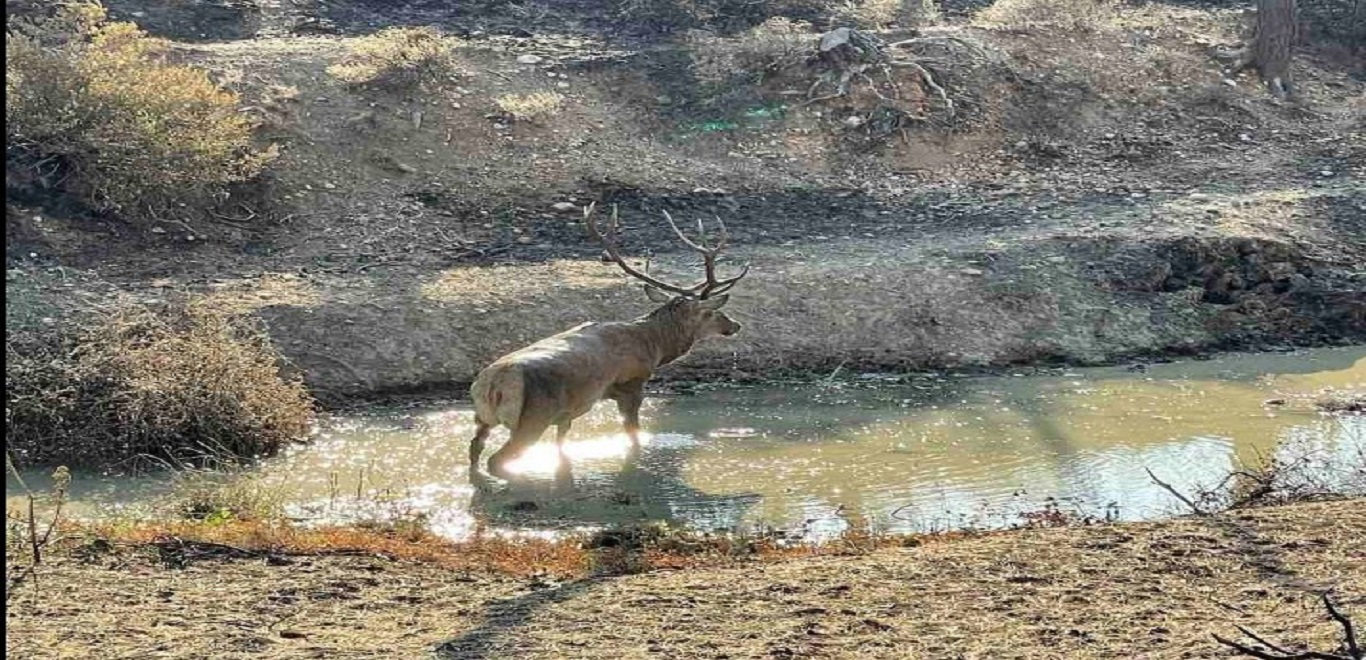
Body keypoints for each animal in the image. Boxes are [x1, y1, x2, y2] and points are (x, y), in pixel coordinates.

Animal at [467, 203, 748, 483]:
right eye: (710, 313)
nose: (735, 324)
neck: (653, 345)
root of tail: (493, 384)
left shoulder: (568, 411)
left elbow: (562, 444)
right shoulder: (632, 384)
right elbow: (633, 434)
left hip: (483, 416)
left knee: (475, 448)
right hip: (533, 415)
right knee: (497, 459)